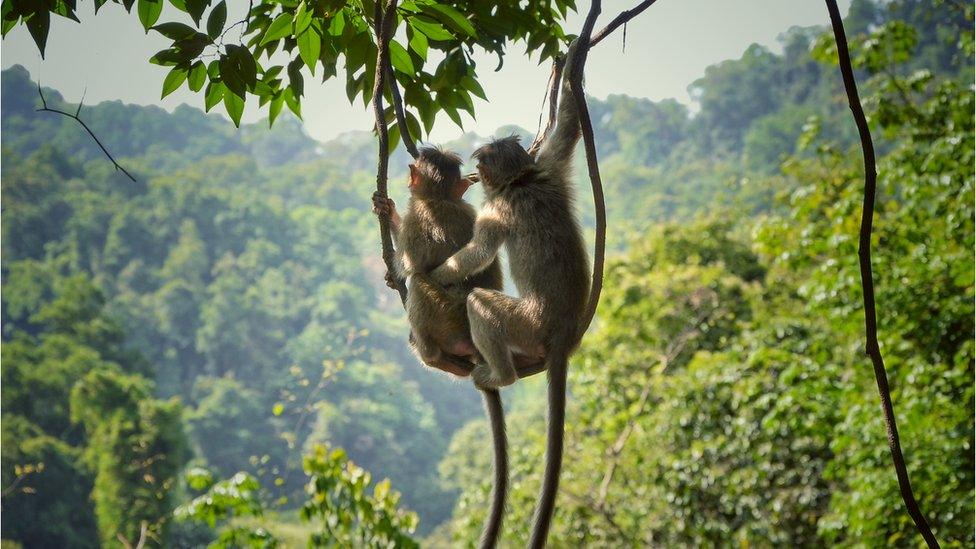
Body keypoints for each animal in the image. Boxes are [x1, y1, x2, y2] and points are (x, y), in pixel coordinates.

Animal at [432, 39, 592, 548]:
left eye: (482, 164)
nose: (476, 173)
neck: (521, 182)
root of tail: (560, 334)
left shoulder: (499, 210)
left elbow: (478, 251)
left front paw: (434, 275)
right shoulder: (550, 168)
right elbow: (566, 131)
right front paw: (575, 59)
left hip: (526, 325)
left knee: (481, 305)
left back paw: (498, 374)